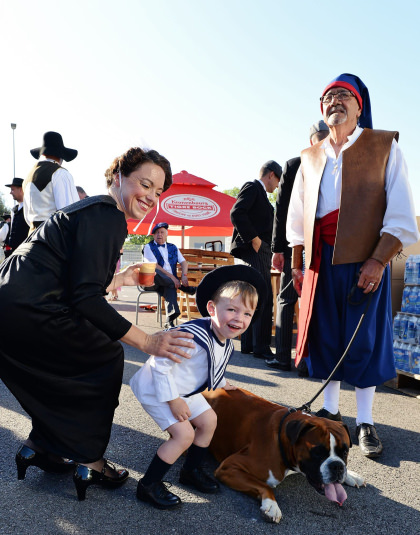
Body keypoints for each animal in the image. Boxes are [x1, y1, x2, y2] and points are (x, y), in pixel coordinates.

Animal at [203, 388, 364, 524]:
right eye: (318, 452)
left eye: (345, 452)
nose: (337, 466)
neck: (283, 437)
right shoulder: (228, 467)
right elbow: (265, 485)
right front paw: (272, 505)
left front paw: (351, 474)